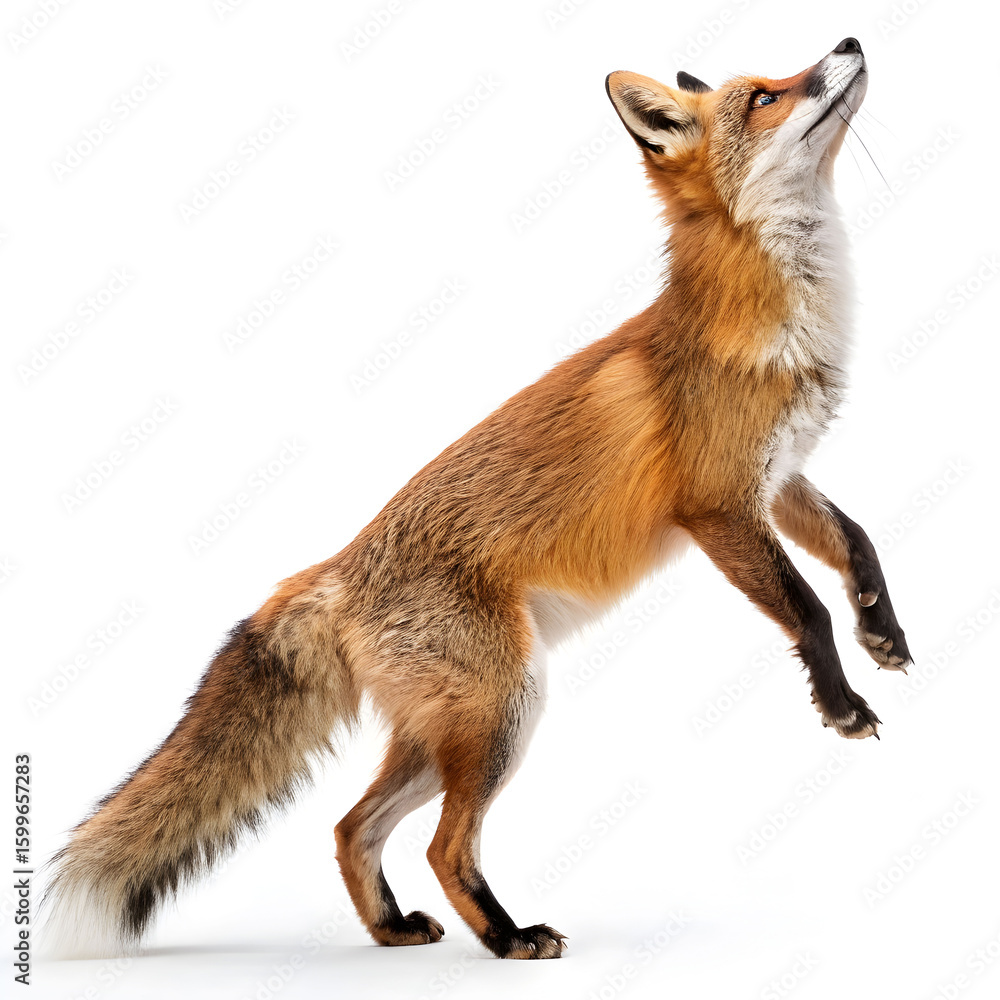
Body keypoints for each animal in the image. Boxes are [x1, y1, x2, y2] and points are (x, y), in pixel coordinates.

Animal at [43, 37, 910, 961]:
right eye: (764, 97)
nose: (849, 43)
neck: (768, 318)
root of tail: (333, 573)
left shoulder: (777, 480)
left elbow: (859, 541)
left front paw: (883, 633)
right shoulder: (717, 505)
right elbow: (806, 608)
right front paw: (842, 703)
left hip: (445, 733)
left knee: (351, 827)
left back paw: (393, 928)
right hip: (504, 712)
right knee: (439, 844)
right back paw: (507, 935)